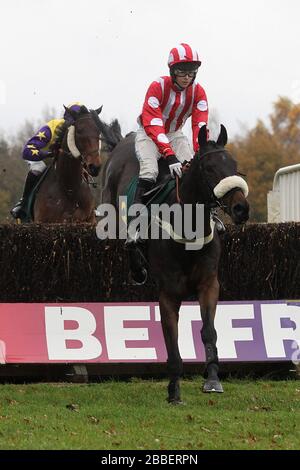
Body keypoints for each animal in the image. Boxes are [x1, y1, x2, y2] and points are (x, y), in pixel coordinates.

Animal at [102, 126, 250, 404]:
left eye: (234, 165)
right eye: (209, 169)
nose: (241, 209)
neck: (188, 231)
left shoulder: (208, 284)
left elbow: (208, 331)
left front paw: (212, 379)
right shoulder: (168, 293)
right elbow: (172, 341)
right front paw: (174, 391)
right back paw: (136, 263)